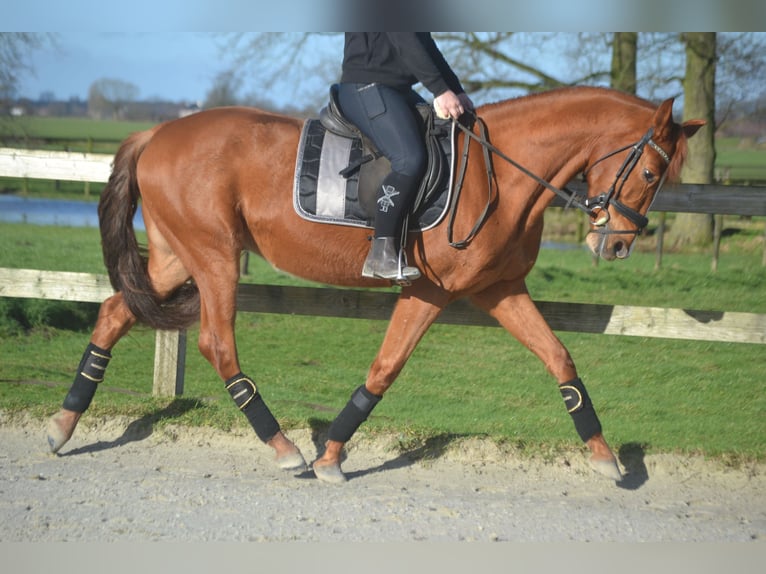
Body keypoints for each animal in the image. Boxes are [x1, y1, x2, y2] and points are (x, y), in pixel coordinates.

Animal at [46, 85, 708, 484]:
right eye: (652, 171)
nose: (617, 244)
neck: (500, 169)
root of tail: (156, 134)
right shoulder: (430, 291)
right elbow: (386, 368)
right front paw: (331, 454)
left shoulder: (498, 290)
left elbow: (560, 358)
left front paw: (602, 455)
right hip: (213, 257)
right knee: (216, 343)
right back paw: (284, 447)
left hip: (175, 259)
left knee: (113, 312)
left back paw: (62, 425)